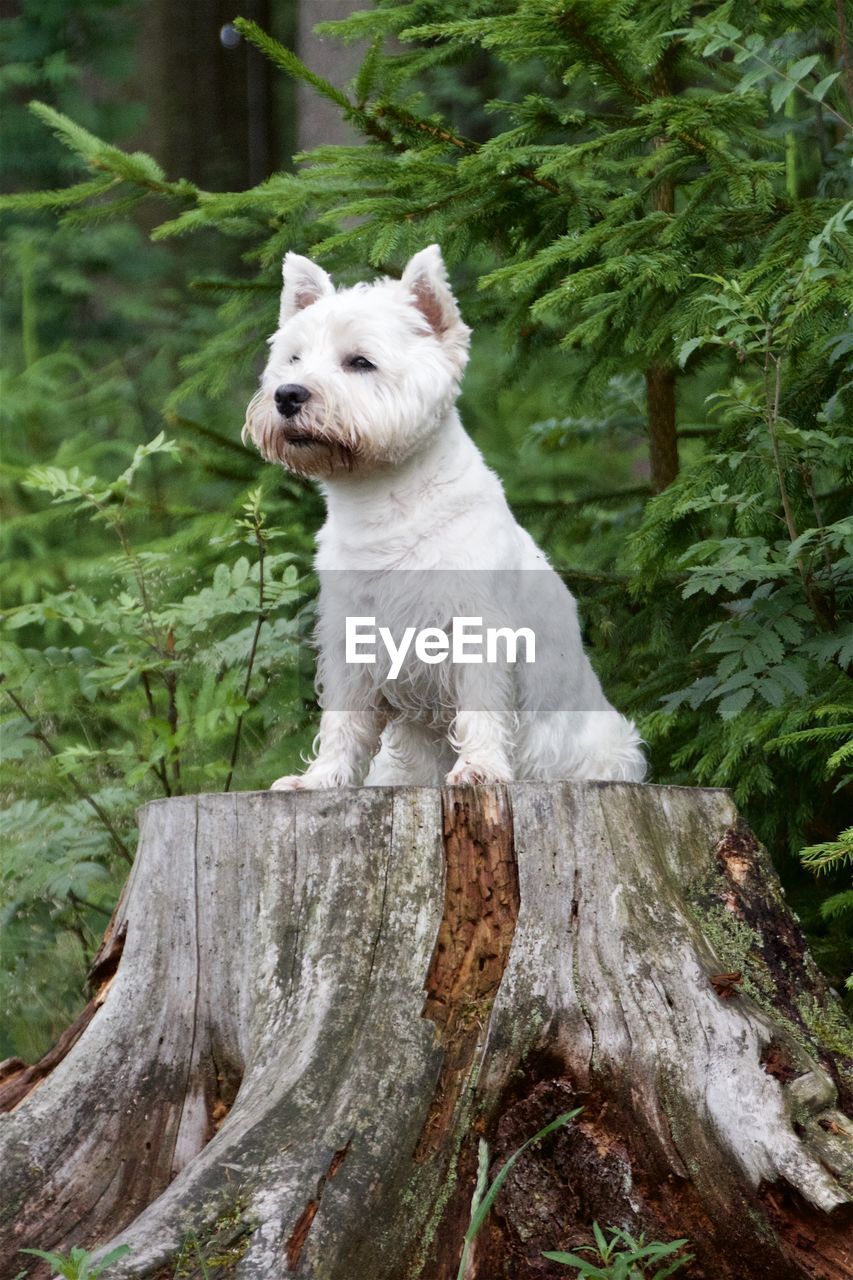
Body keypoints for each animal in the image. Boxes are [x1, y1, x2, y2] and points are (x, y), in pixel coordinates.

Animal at [242, 243, 640, 783]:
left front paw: (478, 769)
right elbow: (344, 719)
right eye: (293, 359)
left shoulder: (477, 631)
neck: (381, 505)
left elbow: (481, 707)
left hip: (612, 748)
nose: (287, 395)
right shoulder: (350, 639)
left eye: (360, 362)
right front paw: (321, 779)